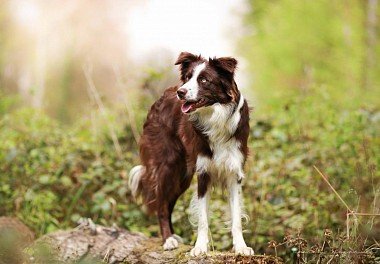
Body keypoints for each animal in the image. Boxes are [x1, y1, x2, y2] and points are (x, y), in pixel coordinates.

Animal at [129, 51, 254, 256]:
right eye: (188, 78)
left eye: (204, 80)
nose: (181, 92)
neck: (215, 116)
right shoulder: (203, 173)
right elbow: (202, 218)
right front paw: (200, 247)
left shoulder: (234, 173)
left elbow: (236, 217)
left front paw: (241, 247)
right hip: (168, 166)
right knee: (162, 204)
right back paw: (168, 240)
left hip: (182, 176)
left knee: (168, 203)